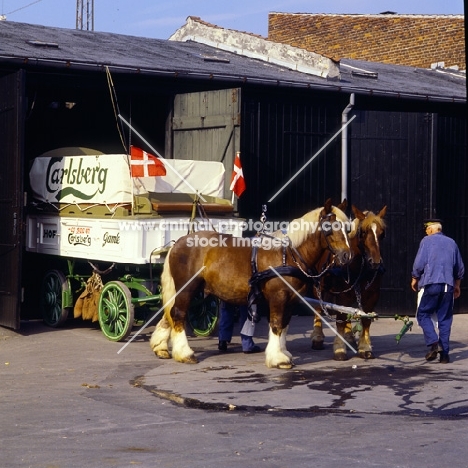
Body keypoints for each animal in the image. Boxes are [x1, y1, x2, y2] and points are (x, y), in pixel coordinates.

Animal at [150, 197, 352, 370]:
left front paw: (284, 353)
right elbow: (276, 324)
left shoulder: (291, 299)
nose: (346, 256)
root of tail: (178, 243)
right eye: (330, 227)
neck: (288, 254)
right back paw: (185, 353)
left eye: (348, 229)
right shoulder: (278, 296)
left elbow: (285, 325)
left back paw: (161, 347)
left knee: (170, 313)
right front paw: (277, 358)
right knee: (178, 314)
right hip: (187, 289)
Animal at [310, 203, 388, 360]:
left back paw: (349, 337)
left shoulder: (373, 295)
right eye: (363, 232)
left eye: (382, 233)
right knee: (318, 309)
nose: (376, 263)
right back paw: (318, 337)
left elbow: (365, 319)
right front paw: (340, 349)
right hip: (318, 286)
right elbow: (341, 317)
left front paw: (364, 348)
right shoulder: (343, 294)